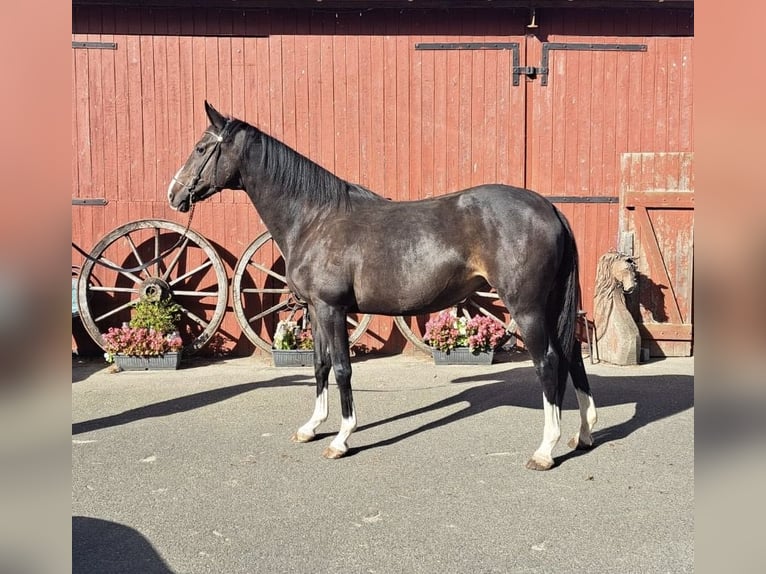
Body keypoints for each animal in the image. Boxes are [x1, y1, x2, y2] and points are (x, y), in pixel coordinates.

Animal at [167, 101, 597, 471]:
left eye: (201, 147)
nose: (174, 193)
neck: (315, 218)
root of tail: (548, 207)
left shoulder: (332, 309)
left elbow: (342, 369)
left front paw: (341, 439)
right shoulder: (315, 310)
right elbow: (320, 365)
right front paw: (311, 427)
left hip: (527, 309)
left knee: (548, 363)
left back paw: (545, 449)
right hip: (550, 305)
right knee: (571, 356)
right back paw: (583, 435)